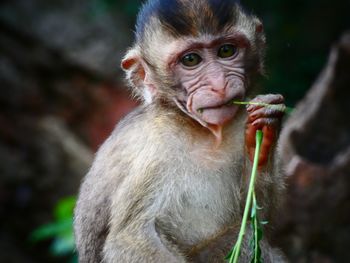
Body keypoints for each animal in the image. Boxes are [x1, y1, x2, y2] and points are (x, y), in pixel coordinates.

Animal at [74, 0, 288, 262]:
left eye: (226, 51)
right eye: (191, 60)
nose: (218, 84)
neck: (204, 131)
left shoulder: (240, 119)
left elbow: (255, 218)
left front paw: (264, 131)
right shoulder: (157, 147)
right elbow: (129, 239)